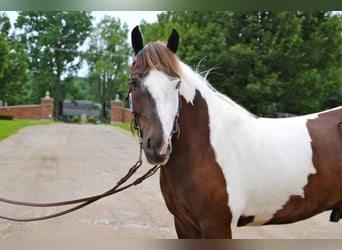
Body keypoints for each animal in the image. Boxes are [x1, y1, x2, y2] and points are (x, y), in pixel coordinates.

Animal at [128, 26, 342, 239]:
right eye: (134, 82)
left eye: (177, 84)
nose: (160, 147)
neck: (204, 146)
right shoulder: (184, 224)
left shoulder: (217, 225)